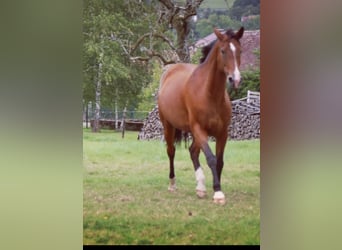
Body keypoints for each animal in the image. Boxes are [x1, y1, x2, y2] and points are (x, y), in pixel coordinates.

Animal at [158, 27, 243, 204]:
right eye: (223, 51)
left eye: (240, 50)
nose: (235, 79)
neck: (209, 93)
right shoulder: (199, 129)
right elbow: (211, 158)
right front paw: (218, 193)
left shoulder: (222, 133)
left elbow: (219, 161)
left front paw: (215, 189)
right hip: (169, 126)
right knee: (171, 151)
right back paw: (172, 184)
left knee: (193, 151)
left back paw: (200, 187)